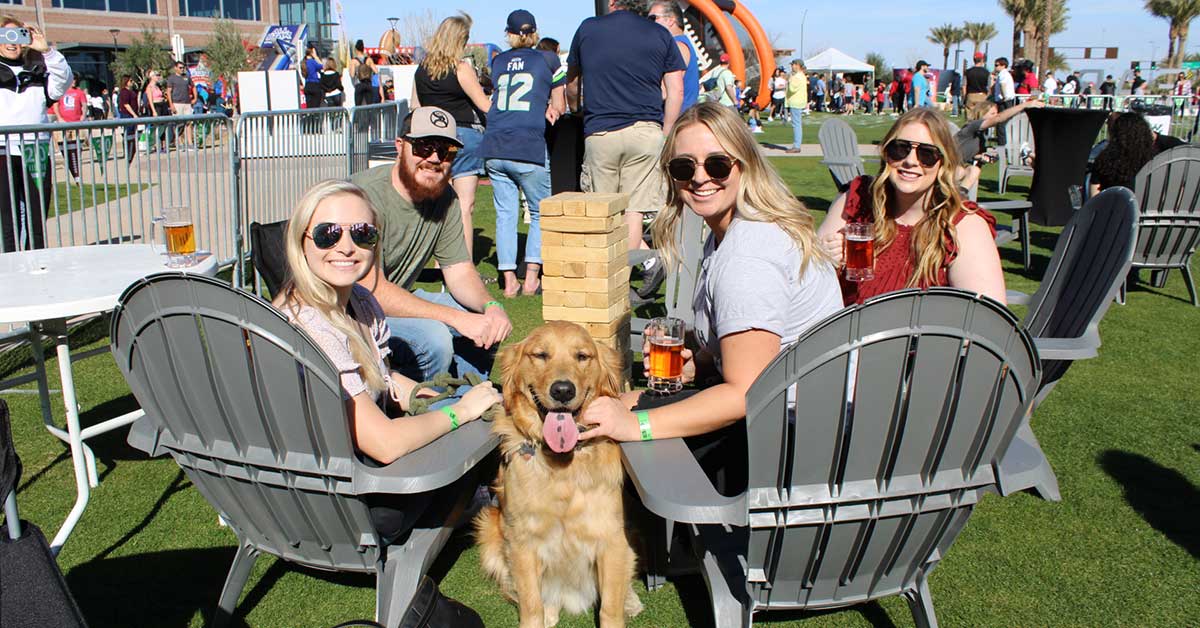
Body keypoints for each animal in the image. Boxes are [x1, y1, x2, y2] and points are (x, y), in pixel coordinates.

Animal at [472, 324, 643, 628]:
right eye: (540, 355)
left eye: (582, 356)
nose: (563, 390)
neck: (563, 461)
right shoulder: (522, 540)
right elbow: (531, 604)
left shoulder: (612, 537)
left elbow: (610, 608)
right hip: (489, 528)